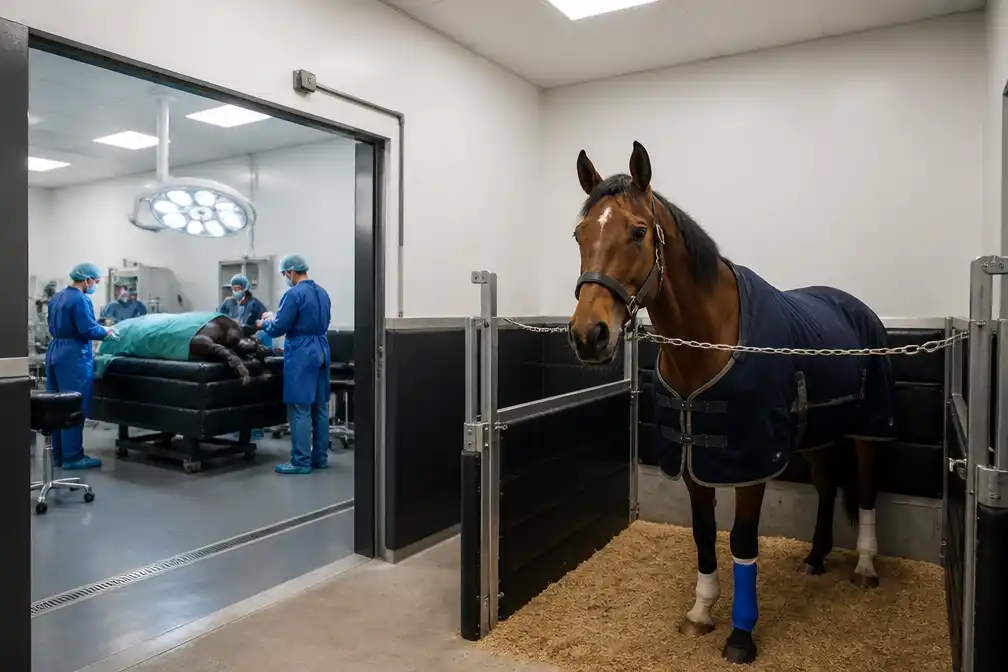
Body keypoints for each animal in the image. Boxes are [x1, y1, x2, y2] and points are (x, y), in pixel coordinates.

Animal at [566, 141, 895, 665]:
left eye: (638, 231)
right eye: (579, 235)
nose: (588, 335)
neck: (705, 343)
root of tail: (857, 308)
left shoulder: (750, 463)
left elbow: (742, 540)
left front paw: (741, 634)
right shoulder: (693, 459)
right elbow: (703, 532)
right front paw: (701, 612)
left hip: (869, 427)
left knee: (864, 488)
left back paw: (864, 567)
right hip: (816, 437)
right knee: (827, 485)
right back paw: (816, 556)